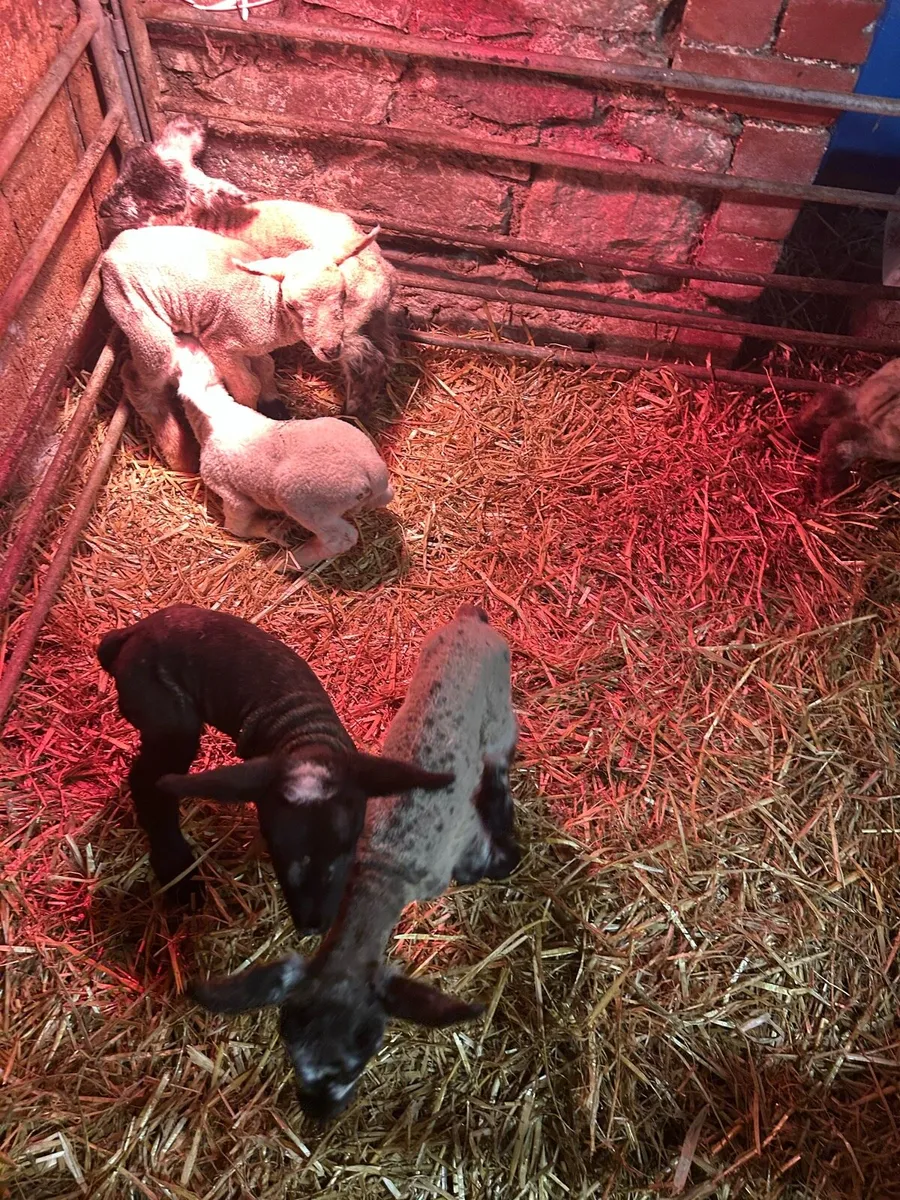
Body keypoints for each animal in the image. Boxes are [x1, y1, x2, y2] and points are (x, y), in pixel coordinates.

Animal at [96, 603, 453, 934]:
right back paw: (179, 876)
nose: (313, 926)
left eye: (347, 846)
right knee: (148, 782)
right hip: (167, 715)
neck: (305, 734)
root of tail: (130, 633)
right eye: (277, 849)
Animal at [98, 116, 397, 417]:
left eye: (160, 203)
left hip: (345, 325)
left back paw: (354, 409)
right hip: (373, 317)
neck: (206, 220)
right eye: (124, 173)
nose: (103, 210)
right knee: (387, 350)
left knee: (368, 359)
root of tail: (383, 273)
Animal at [100, 223, 379, 473]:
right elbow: (247, 386)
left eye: (343, 294)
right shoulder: (220, 343)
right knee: (138, 380)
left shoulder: (253, 347)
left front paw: (273, 403)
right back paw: (179, 454)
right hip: (138, 316)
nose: (330, 350)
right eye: (291, 305)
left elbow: (266, 366)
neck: (269, 307)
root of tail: (113, 246)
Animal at [174, 339, 393, 566]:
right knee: (385, 497)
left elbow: (237, 526)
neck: (218, 412)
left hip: (307, 503)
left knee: (340, 539)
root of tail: (371, 470)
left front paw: (268, 530)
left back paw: (283, 562)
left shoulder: (229, 491)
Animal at [189, 603, 521, 1121]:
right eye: (288, 1044)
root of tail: (474, 620)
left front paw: (508, 853)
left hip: (501, 707)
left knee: (502, 753)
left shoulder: (460, 847)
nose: (318, 1116)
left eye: (362, 1052)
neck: (382, 871)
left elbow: (482, 857)